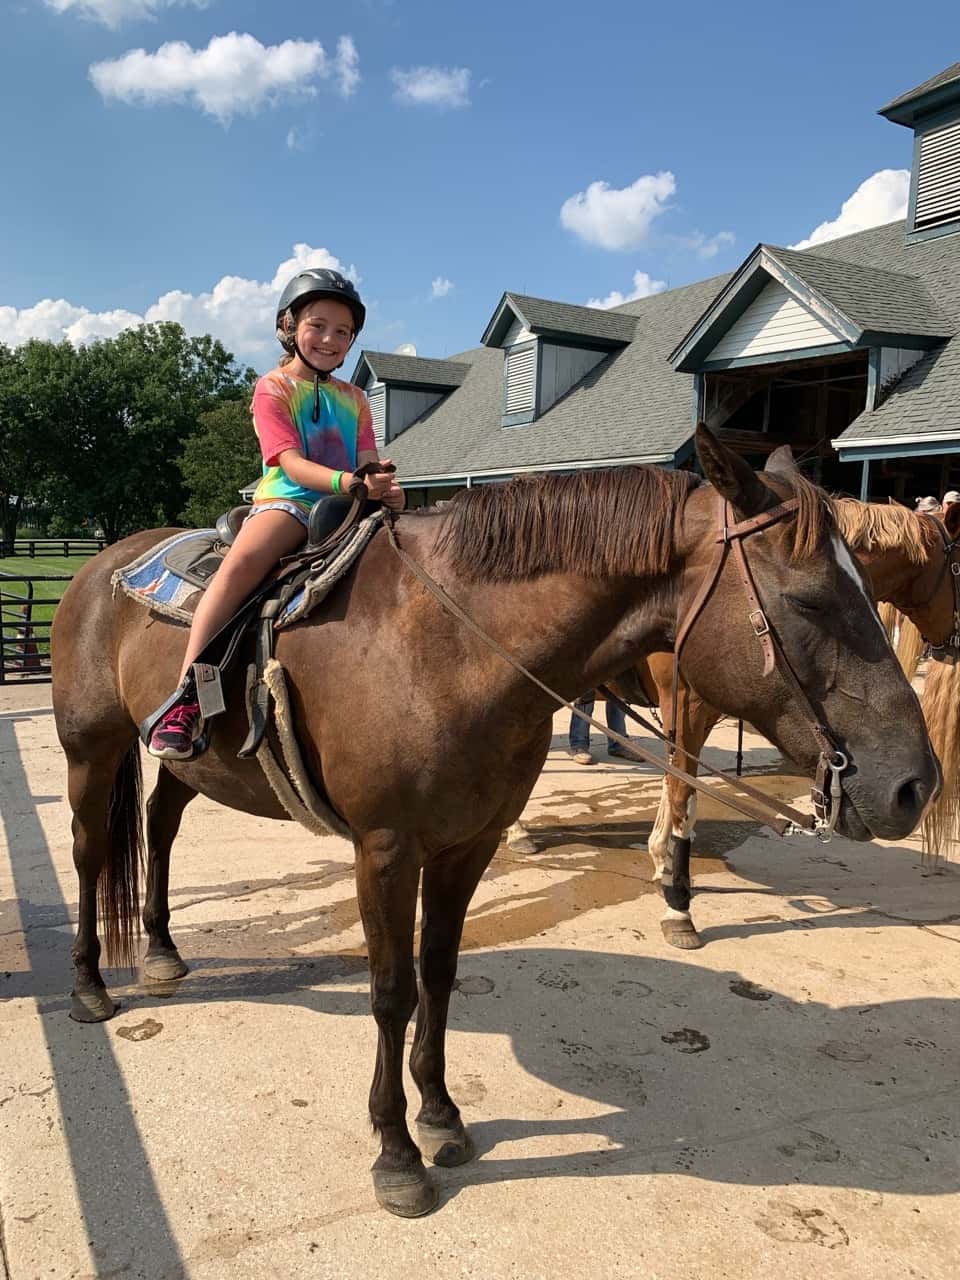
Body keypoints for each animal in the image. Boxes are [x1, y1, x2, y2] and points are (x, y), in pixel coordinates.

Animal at [50, 425, 939, 1217]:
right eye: (811, 600)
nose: (915, 785)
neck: (446, 645)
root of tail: (102, 565)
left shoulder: (466, 846)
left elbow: (439, 974)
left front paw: (442, 1117)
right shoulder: (384, 850)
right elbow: (390, 991)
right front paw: (397, 1155)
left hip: (187, 765)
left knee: (160, 824)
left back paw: (162, 951)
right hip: (91, 751)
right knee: (92, 855)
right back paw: (90, 986)